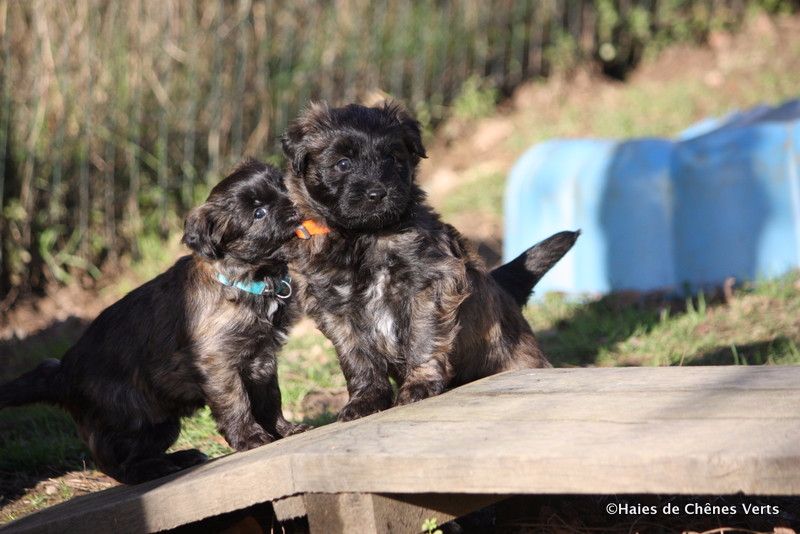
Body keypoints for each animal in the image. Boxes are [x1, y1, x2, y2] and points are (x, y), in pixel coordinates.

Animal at [0, 160, 306, 486]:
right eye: (259, 213)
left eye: (282, 187)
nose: (294, 204)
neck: (246, 280)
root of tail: (63, 372)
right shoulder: (218, 363)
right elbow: (237, 403)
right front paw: (250, 438)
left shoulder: (263, 359)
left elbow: (270, 400)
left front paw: (284, 429)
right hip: (133, 419)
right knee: (120, 466)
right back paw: (158, 468)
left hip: (160, 423)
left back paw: (179, 458)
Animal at [282, 102, 576, 422]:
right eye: (343, 163)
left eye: (393, 158)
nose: (377, 193)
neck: (363, 236)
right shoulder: (334, 308)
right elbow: (356, 357)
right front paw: (364, 400)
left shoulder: (431, 281)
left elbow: (422, 336)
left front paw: (419, 385)